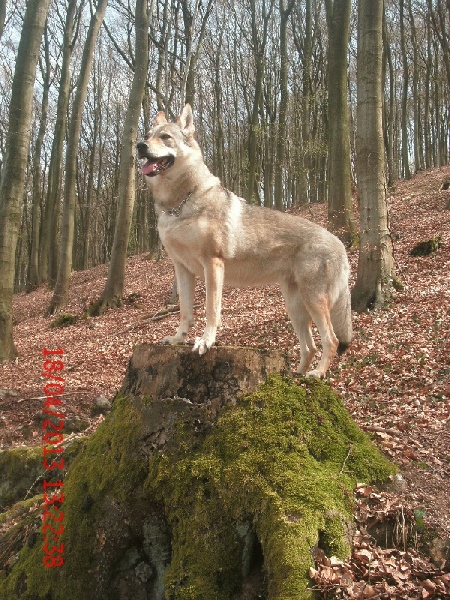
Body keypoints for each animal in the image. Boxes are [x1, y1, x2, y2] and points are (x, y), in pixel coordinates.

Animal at [137, 102, 352, 376]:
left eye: (165, 137)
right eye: (147, 136)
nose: (139, 146)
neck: (179, 205)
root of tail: (339, 243)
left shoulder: (213, 264)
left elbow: (211, 310)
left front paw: (205, 341)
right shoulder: (182, 269)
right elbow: (185, 311)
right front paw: (178, 339)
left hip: (313, 301)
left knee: (331, 340)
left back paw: (317, 374)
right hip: (295, 307)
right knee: (310, 347)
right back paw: (296, 376)